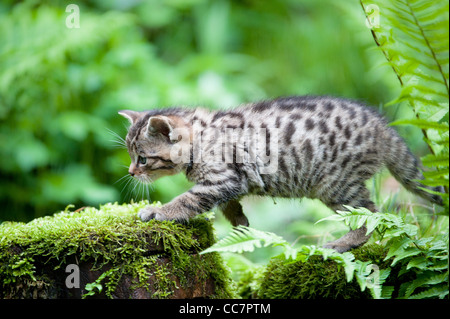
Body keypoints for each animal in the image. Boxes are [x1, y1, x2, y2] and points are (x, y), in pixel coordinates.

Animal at [118, 95, 442, 252]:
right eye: (131, 156)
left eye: (142, 158)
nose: (131, 172)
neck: (200, 137)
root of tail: (382, 127)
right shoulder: (229, 183)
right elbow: (230, 206)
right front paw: (242, 227)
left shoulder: (220, 179)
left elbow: (187, 200)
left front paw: (158, 211)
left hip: (336, 185)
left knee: (371, 215)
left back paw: (344, 242)